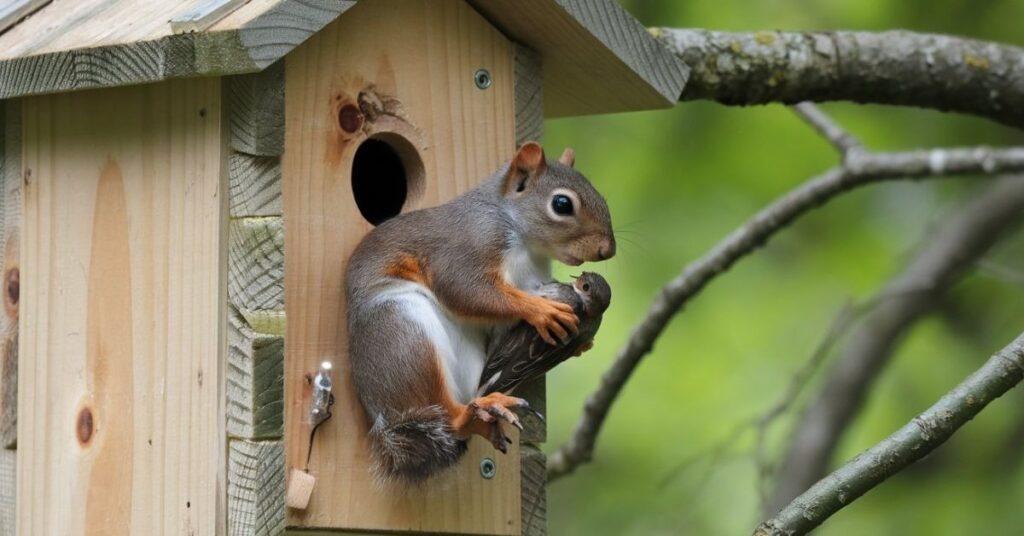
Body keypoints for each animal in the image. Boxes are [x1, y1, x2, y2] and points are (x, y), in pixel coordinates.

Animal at [344, 141, 614, 481]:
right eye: (562, 204)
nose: (608, 250)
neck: (523, 240)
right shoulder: (467, 246)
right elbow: (465, 289)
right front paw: (541, 310)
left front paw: (581, 344)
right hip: (401, 333)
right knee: (450, 416)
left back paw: (490, 411)